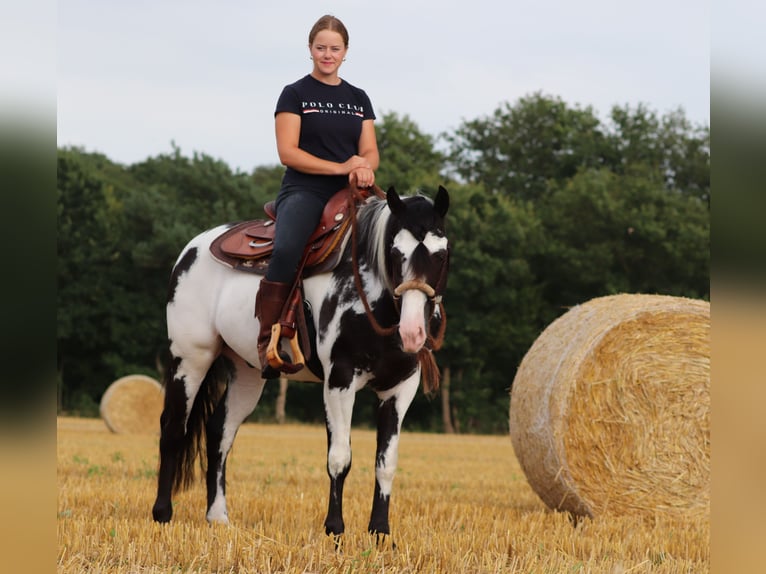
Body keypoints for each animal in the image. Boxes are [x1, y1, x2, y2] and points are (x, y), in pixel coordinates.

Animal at [151, 185, 450, 542]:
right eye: (395, 252)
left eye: (442, 255)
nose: (413, 331)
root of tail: (192, 248)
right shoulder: (339, 380)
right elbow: (340, 458)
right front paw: (335, 529)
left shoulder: (401, 387)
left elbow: (386, 462)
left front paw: (379, 531)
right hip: (190, 358)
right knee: (173, 428)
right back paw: (162, 514)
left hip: (247, 373)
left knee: (219, 432)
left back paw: (218, 516)